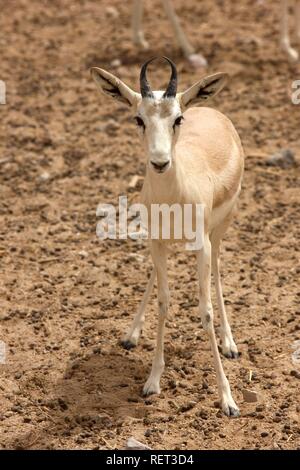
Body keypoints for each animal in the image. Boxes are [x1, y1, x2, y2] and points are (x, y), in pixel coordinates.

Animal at [91, 57, 244, 416]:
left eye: (177, 118)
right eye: (138, 118)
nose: (160, 162)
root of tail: (211, 110)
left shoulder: (202, 246)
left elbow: (205, 311)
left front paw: (227, 398)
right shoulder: (156, 243)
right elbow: (163, 302)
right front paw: (152, 380)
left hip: (219, 232)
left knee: (218, 273)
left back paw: (230, 343)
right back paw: (131, 334)